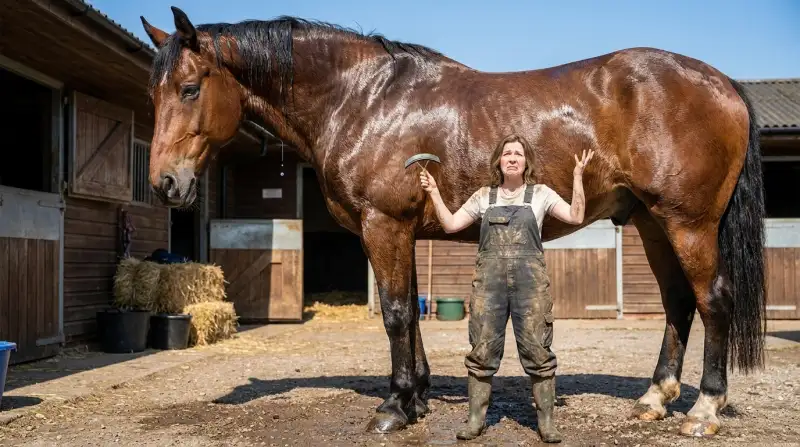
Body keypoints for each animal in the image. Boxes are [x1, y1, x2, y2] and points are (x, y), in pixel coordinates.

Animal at [139, 6, 766, 438]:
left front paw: (393, 409)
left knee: (713, 300)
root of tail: (723, 84)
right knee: (679, 303)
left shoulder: (384, 226)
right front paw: (416, 398)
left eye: (189, 88)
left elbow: (395, 315)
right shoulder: (398, 233)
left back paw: (704, 409)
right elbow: (407, 318)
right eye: (155, 92)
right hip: (652, 223)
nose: (165, 183)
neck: (363, 99)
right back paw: (654, 399)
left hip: (687, 222)